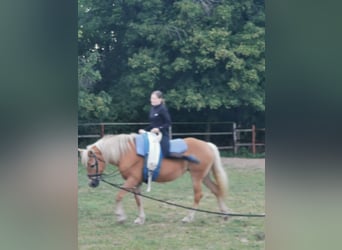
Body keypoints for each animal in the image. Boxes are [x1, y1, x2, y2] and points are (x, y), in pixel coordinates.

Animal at [79, 133, 230, 225]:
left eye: (91, 165)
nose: (92, 183)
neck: (128, 153)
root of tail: (208, 145)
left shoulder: (131, 180)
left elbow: (119, 195)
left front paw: (120, 217)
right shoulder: (136, 182)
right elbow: (138, 200)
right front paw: (140, 219)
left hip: (196, 176)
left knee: (198, 195)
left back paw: (188, 217)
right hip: (204, 176)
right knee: (216, 190)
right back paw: (225, 214)